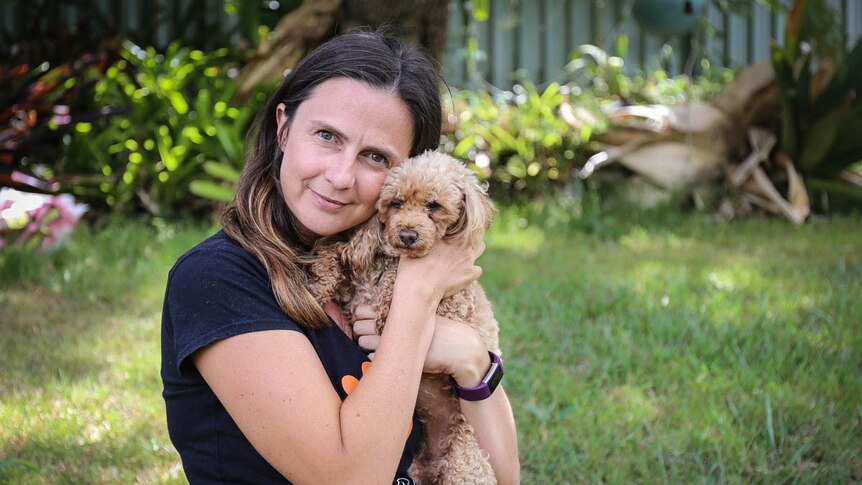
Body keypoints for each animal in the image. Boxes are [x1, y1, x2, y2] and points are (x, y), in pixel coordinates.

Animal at [308, 149, 500, 482]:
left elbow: (394, 283)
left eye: (433, 206)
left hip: (466, 464)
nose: (407, 235)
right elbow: (338, 257)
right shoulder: (355, 293)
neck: (391, 258)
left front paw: (387, 305)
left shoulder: (451, 303)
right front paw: (319, 283)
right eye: (395, 203)